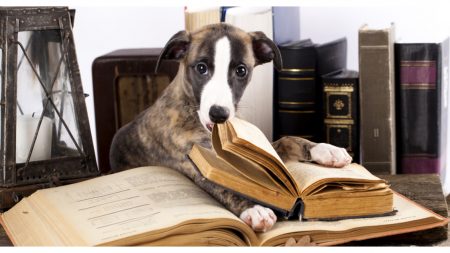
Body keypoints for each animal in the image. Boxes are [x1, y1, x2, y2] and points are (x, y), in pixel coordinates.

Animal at [110, 22, 352, 232]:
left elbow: (287, 140)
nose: (218, 114)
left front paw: (326, 150)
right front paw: (253, 209)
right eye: (201, 68)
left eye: (241, 70)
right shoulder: (196, 163)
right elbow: (224, 185)